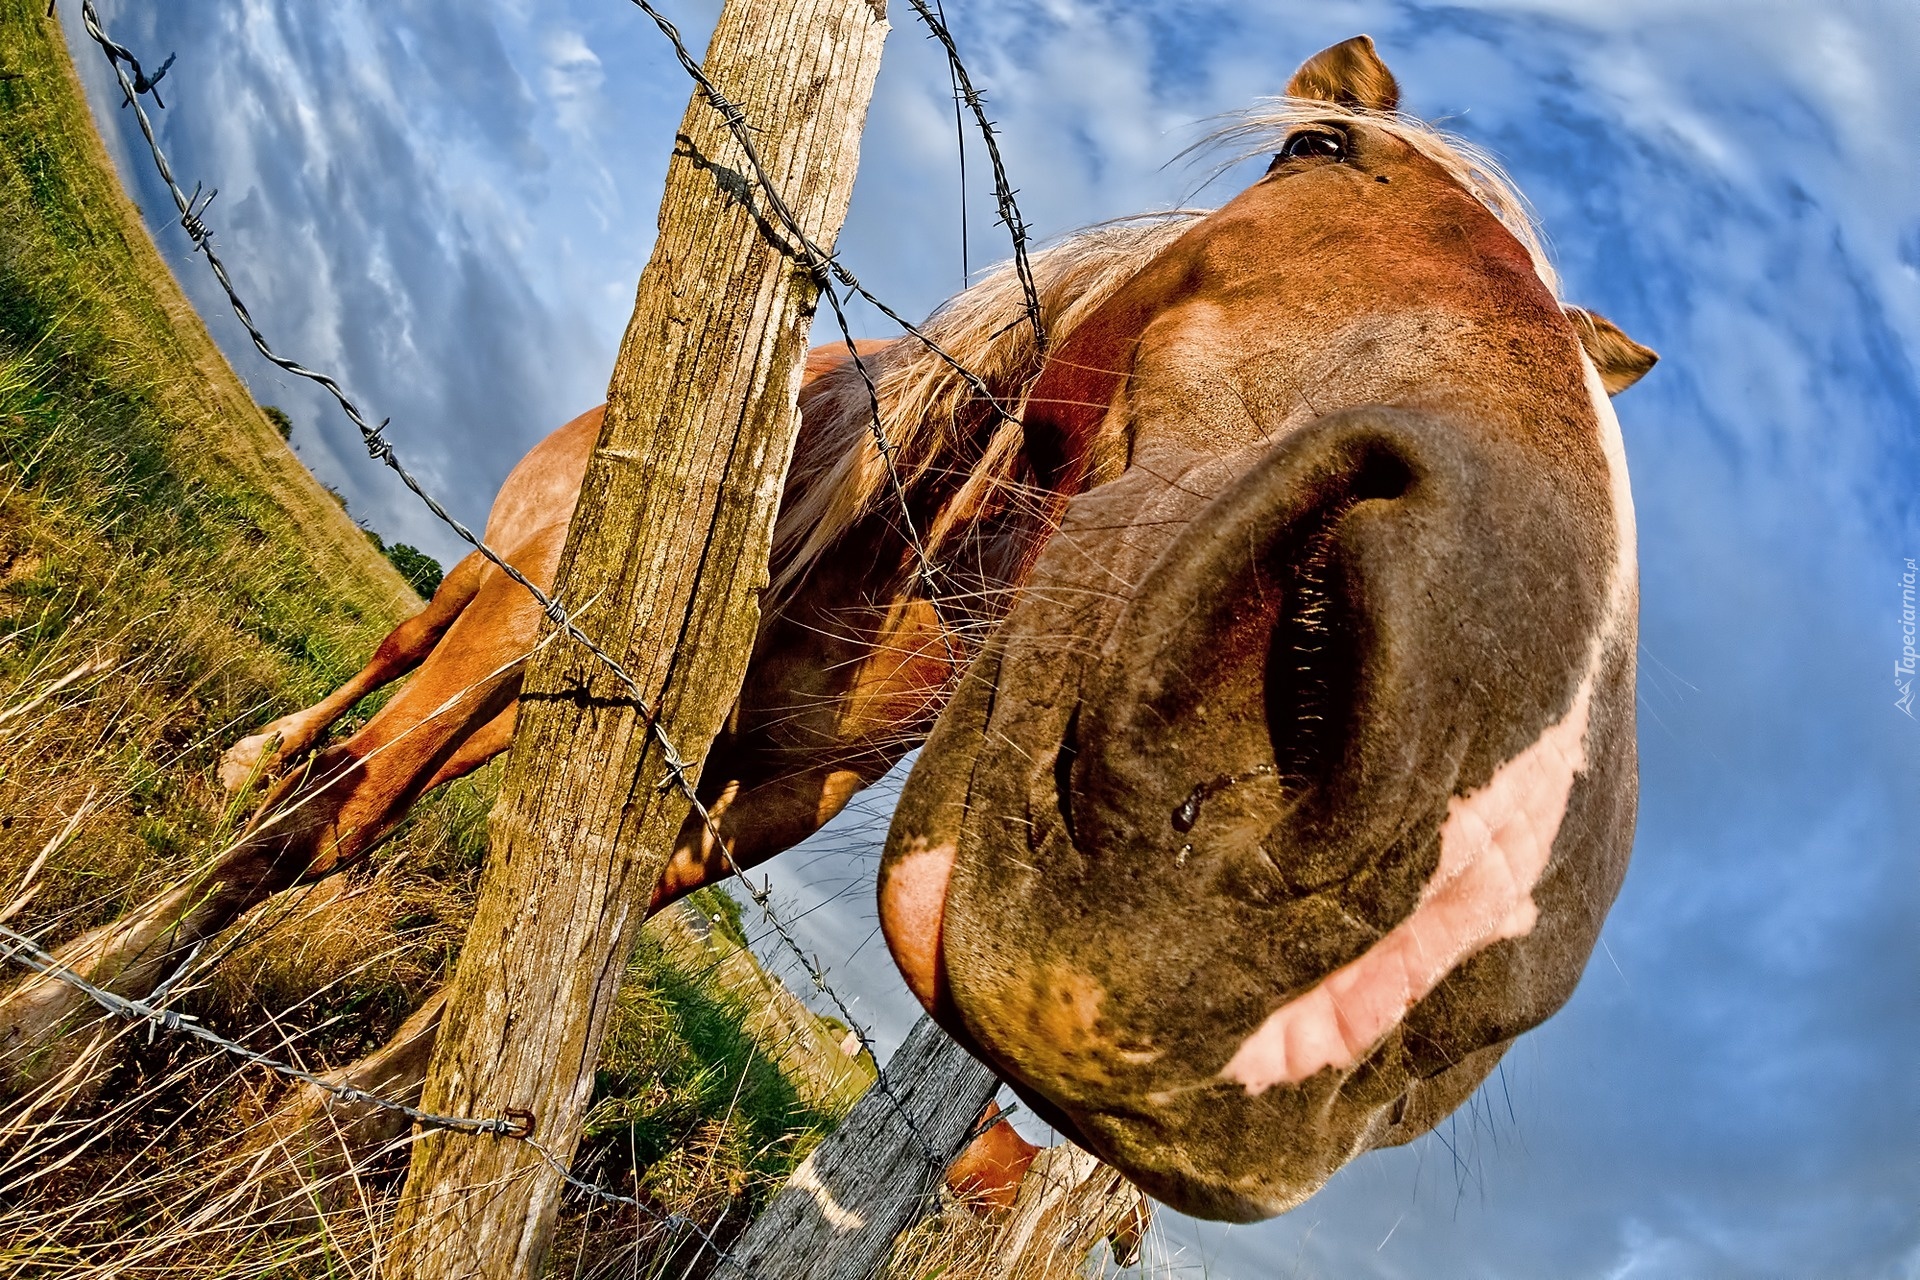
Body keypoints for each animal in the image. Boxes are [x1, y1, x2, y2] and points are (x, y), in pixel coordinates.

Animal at [0, 35, 1651, 1228]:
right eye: (1316, 149)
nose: (1467, 836)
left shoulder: (733, 817)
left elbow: (542, 996)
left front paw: (293, 1145)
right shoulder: (550, 659)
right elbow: (318, 839)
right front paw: (56, 1022)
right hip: (497, 610)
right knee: (377, 697)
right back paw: (247, 763)